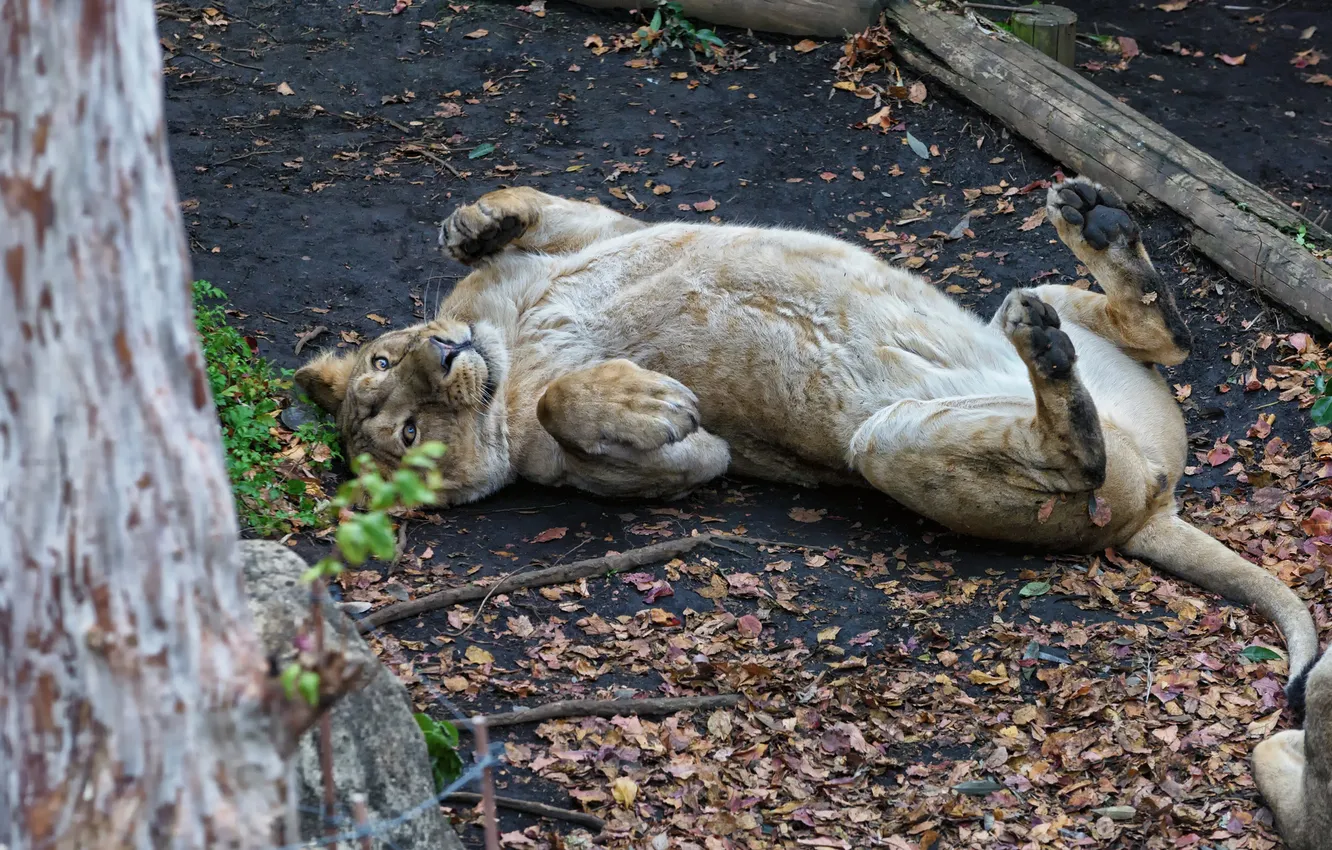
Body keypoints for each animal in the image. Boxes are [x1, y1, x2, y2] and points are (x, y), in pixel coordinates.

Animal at [296, 177, 1318, 690]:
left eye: (388, 362)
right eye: (411, 432)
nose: (442, 350)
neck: (508, 344)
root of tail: (1161, 505)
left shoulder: (594, 231)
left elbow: (534, 205)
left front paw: (470, 222)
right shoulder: (649, 473)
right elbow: (585, 415)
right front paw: (663, 403)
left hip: (1069, 333)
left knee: (1164, 334)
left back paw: (1095, 225)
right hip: (893, 446)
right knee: (1080, 450)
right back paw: (1053, 363)